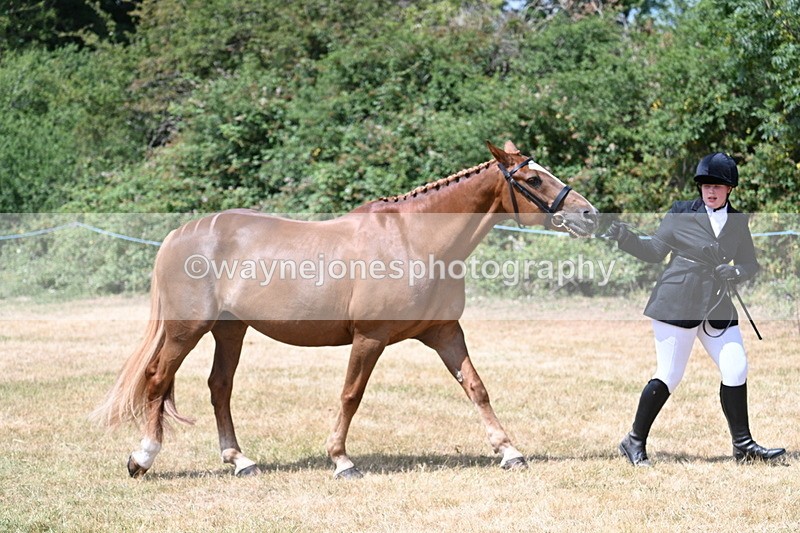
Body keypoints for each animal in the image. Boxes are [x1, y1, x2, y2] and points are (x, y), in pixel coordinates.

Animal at [93, 140, 599, 479]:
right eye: (533, 179)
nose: (589, 214)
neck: (415, 241)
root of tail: (179, 234)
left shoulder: (444, 332)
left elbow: (476, 387)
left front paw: (509, 451)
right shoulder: (369, 338)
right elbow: (351, 395)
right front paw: (341, 460)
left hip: (230, 331)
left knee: (220, 388)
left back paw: (241, 461)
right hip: (187, 329)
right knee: (158, 378)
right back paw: (142, 458)